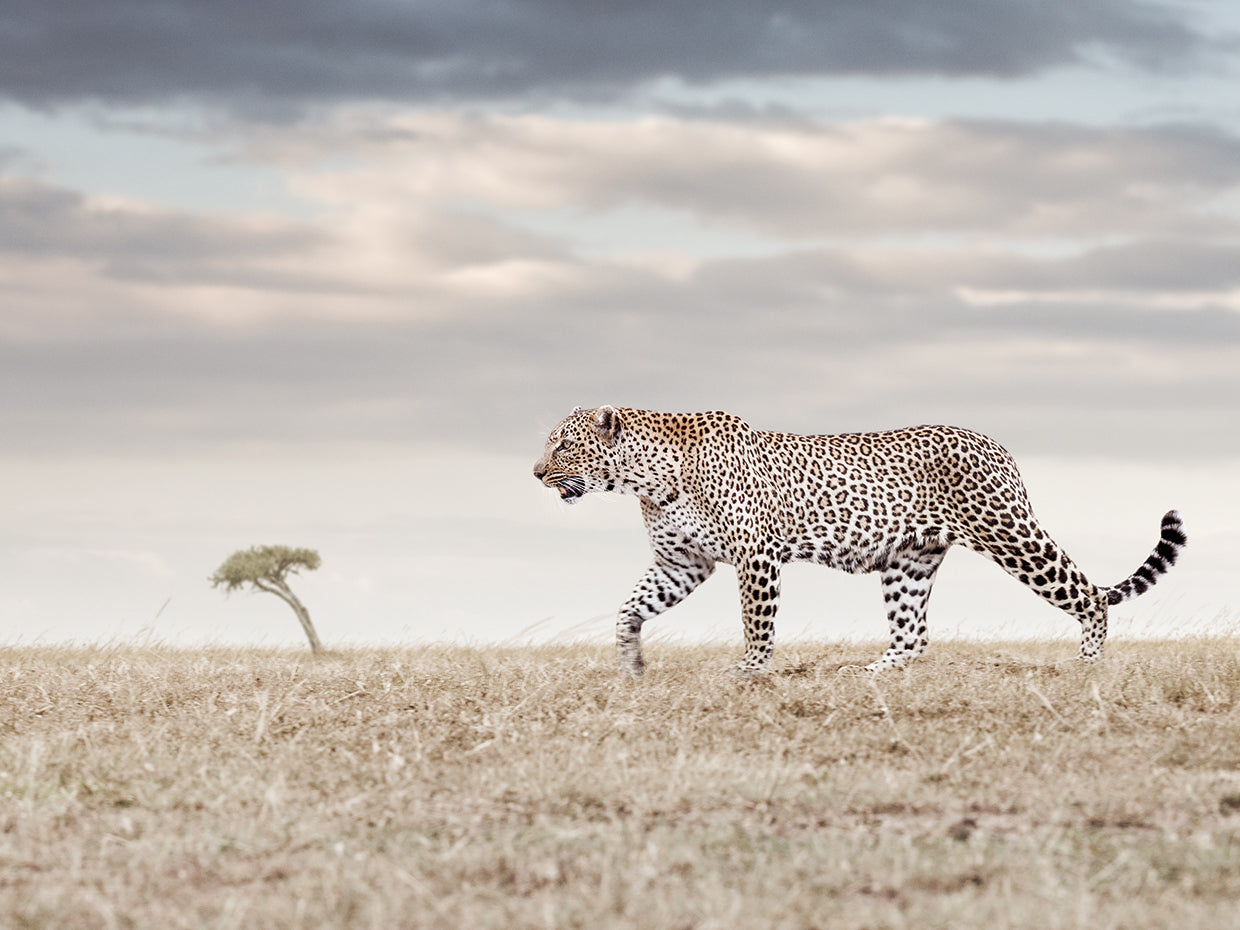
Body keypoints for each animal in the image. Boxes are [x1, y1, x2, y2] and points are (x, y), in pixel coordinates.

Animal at [533, 406, 1187, 677]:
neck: (644, 478)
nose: (536, 472)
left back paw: (1088, 663)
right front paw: (630, 663)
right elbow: (629, 608)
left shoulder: (755, 556)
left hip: (1009, 535)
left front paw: (747, 672)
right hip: (908, 563)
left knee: (1088, 593)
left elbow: (756, 623)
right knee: (914, 636)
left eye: (563, 444)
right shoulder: (682, 563)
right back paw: (870, 672)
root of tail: (996, 443)